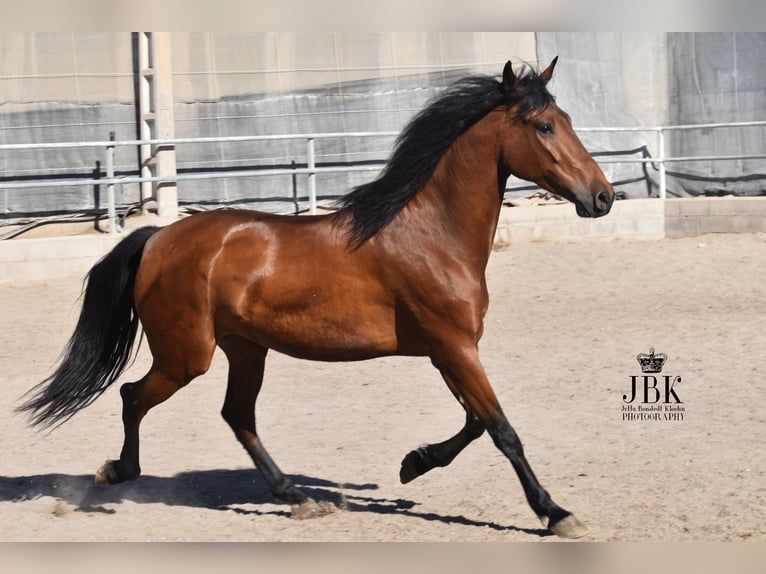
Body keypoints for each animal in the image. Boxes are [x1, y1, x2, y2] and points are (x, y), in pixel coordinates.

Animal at [21, 58, 616, 540]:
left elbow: (475, 422)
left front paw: (413, 463)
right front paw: (557, 513)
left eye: (565, 120)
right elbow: (501, 430)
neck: (431, 234)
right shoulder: (453, 346)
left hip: (245, 349)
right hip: (187, 356)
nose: (603, 197)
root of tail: (158, 237)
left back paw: (298, 498)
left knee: (236, 414)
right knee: (133, 396)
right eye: (544, 126)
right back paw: (117, 473)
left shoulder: (448, 350)